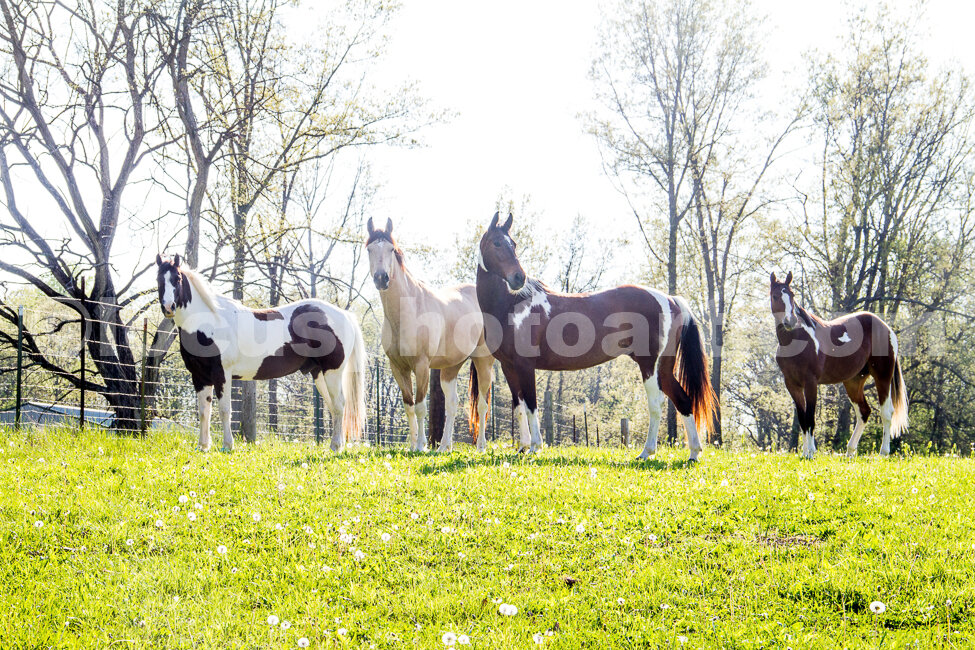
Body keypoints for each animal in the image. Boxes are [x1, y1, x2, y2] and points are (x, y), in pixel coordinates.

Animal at [155, 254, 366, 452]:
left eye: (177, 278)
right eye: (158, 279)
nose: (168, 308)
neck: (209, 323)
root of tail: (345, 315)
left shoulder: (222, 375)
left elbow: (224, 410)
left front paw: (227, 446)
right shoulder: (199, 377)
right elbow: (203, 411)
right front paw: (203, 446)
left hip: (333, 372)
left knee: (339, 405)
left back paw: (336, 446)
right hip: (319, 374)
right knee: (334, 407)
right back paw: (336, 445)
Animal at [365, 218, 495, 453]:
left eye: (391, 249)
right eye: (370, 249)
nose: (381, 278)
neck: (408, 309)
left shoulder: (422, 365)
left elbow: (420, 407)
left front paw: (421, 446)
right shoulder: (397, 368)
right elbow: (408, 406)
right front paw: (413, 445)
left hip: (483, 361)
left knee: (482, 405)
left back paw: (480, 446)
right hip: (451, 367)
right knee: (452, 403)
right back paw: (445, 447)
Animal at [475, 212, 716, 460]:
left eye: (512, 244)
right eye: (497, 243)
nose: (518, 278)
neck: (513, 305)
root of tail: (670, 299)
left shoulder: (525, 366)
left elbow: (532, 405)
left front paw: (535, 447)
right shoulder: (509, 367)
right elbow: (519, 407)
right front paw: (523, 447)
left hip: (650, 366)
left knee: (656, 405)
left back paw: (647, 452)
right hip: (664, 369)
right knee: (683, 400)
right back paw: (693, 453)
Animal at [769, 272, 909, 458]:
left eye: (792, 295)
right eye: (776, 296)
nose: (790, 321)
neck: (797, 339)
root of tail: (886, 328)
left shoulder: (811, 383)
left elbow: (810, 417)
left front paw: (811, 453)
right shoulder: (792, 385)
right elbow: (803, 418)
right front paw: (805, 452)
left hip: (883, 376)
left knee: (887, 412)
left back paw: (883, 453)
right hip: (853, 382)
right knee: (864, 412)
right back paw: (850, 452)